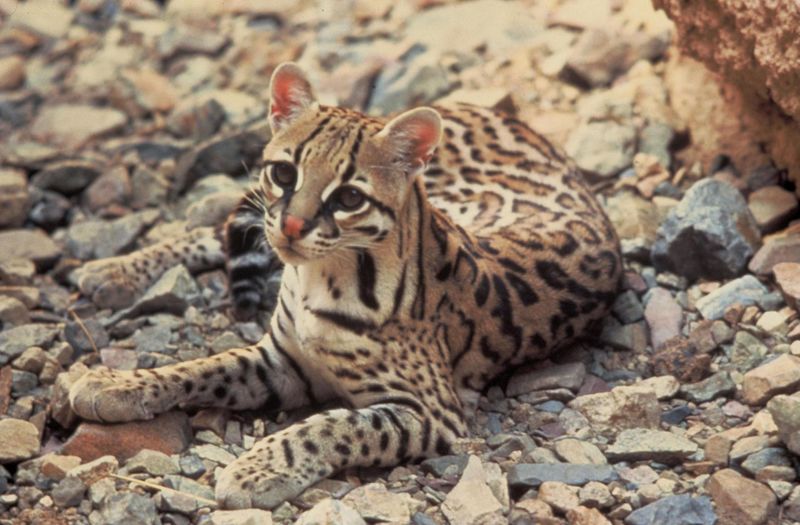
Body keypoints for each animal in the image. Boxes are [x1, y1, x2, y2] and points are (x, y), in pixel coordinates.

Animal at [70, 61, 620, 508]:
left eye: (350, 198)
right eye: (283, 172)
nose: (293, 226)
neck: (319, 277)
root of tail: (484, 106)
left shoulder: (430, 409)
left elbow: (328, 427)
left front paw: (255, 470)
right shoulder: (279, 359)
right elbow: (200, 366)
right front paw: (115, 382)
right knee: (221, 227)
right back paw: (115, 270)